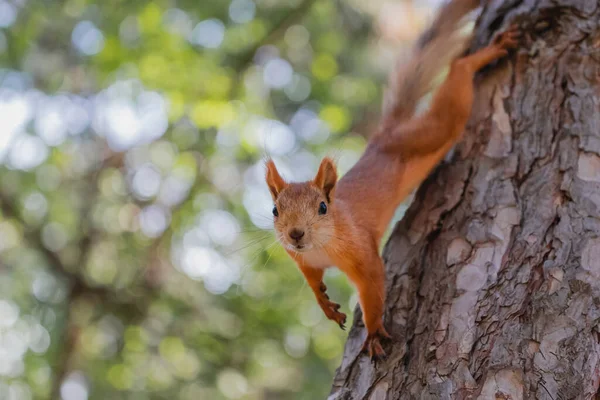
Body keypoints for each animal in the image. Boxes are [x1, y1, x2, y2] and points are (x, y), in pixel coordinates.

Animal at [264, 0, 520, 360]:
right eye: (275, 211)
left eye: (323, 207)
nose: (295, 234)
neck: (321, 246)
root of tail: (385, 135)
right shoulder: (302, 261)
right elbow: (313, 283)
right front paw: (325, 304)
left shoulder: (363, 255)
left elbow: (372, 293)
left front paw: (372, 332)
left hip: (432, 131)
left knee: (455, 84)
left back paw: (486, 54)